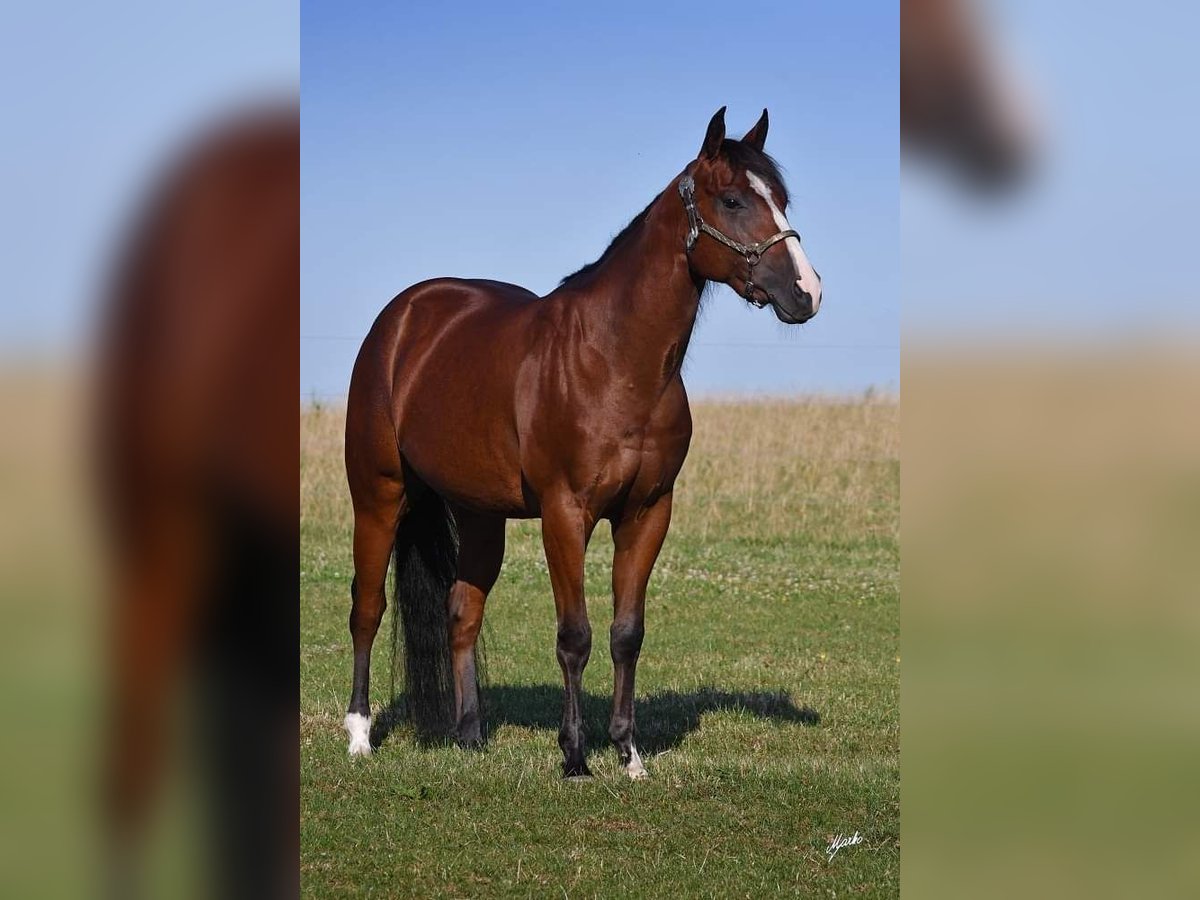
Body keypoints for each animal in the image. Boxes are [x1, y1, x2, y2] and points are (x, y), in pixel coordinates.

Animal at [343, 107, 820, 782]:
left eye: (781, 199)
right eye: (732, 200)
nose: (807, 293)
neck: (615, 361)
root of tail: (403, 317)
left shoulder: (648, 513)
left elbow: (626, 633)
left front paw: (628, 754)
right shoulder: (566, 514)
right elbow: (575, 636)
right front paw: (574, 756)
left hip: (479, 512)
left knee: (462, 611)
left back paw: (470, 736)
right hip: (378, 495)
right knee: (368, 607)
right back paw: (359, 735)